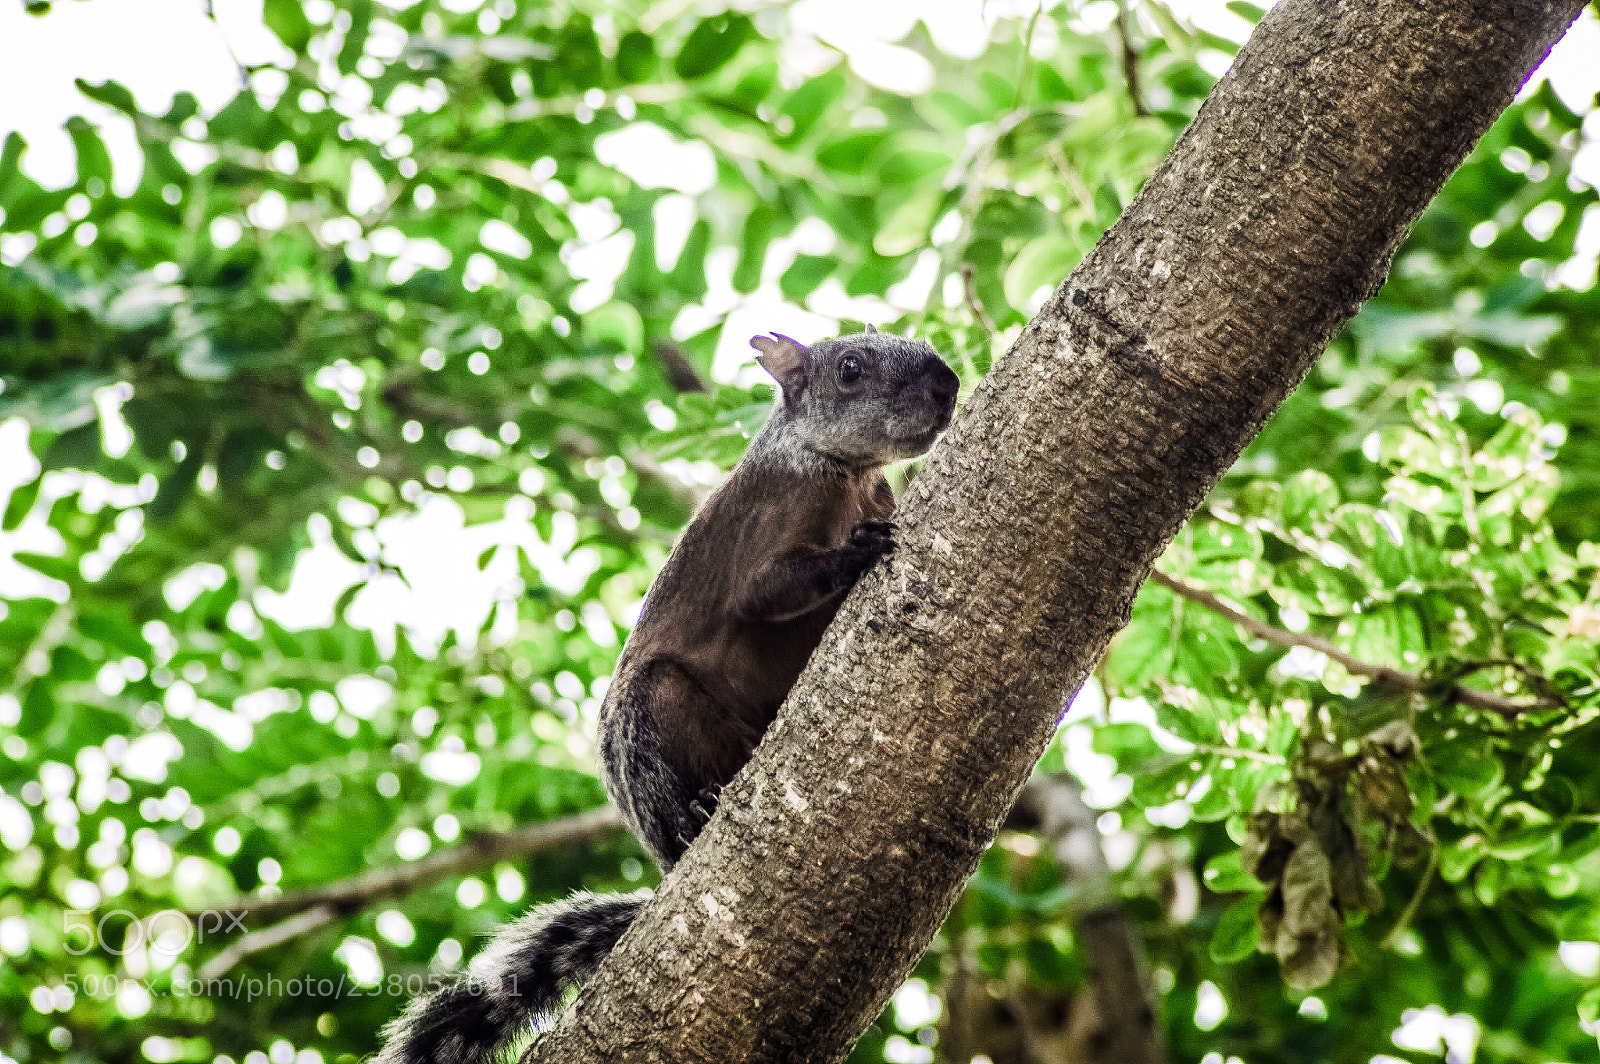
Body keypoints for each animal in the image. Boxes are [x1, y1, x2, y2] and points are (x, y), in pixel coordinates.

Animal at [375, 327, 960, 1064]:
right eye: (851, 368)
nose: (947, 385)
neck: (845, 473)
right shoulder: (771, 518)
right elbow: (767, 591)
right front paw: (854, 553)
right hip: (652, 715)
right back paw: (695, 816)